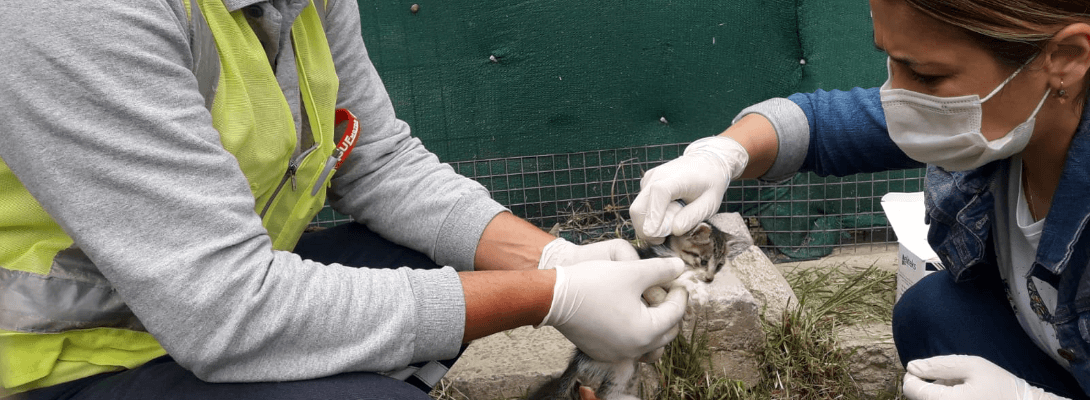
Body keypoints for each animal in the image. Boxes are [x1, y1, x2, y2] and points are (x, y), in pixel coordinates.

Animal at [523, 222, 728, 400]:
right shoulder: (656, 265)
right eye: (704, 260)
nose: (710, 279)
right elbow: (677, 277)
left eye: (719, 266)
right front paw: (696, 289)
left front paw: (689, 308)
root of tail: (577, 359)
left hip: (623, 369)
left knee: (605, 393)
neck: (673, 253)